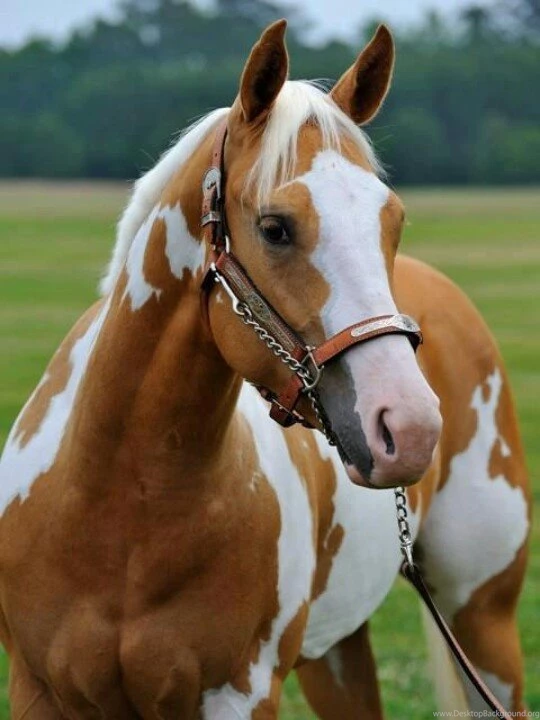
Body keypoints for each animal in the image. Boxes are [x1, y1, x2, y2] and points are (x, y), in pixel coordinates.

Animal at [0, 19, 530, 719]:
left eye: (393, 222)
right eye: (276, 227)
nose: (410, 429)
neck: (120, 510)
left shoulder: (240, 695)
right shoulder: (39, 689)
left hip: (483, 622)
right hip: (338, 652)